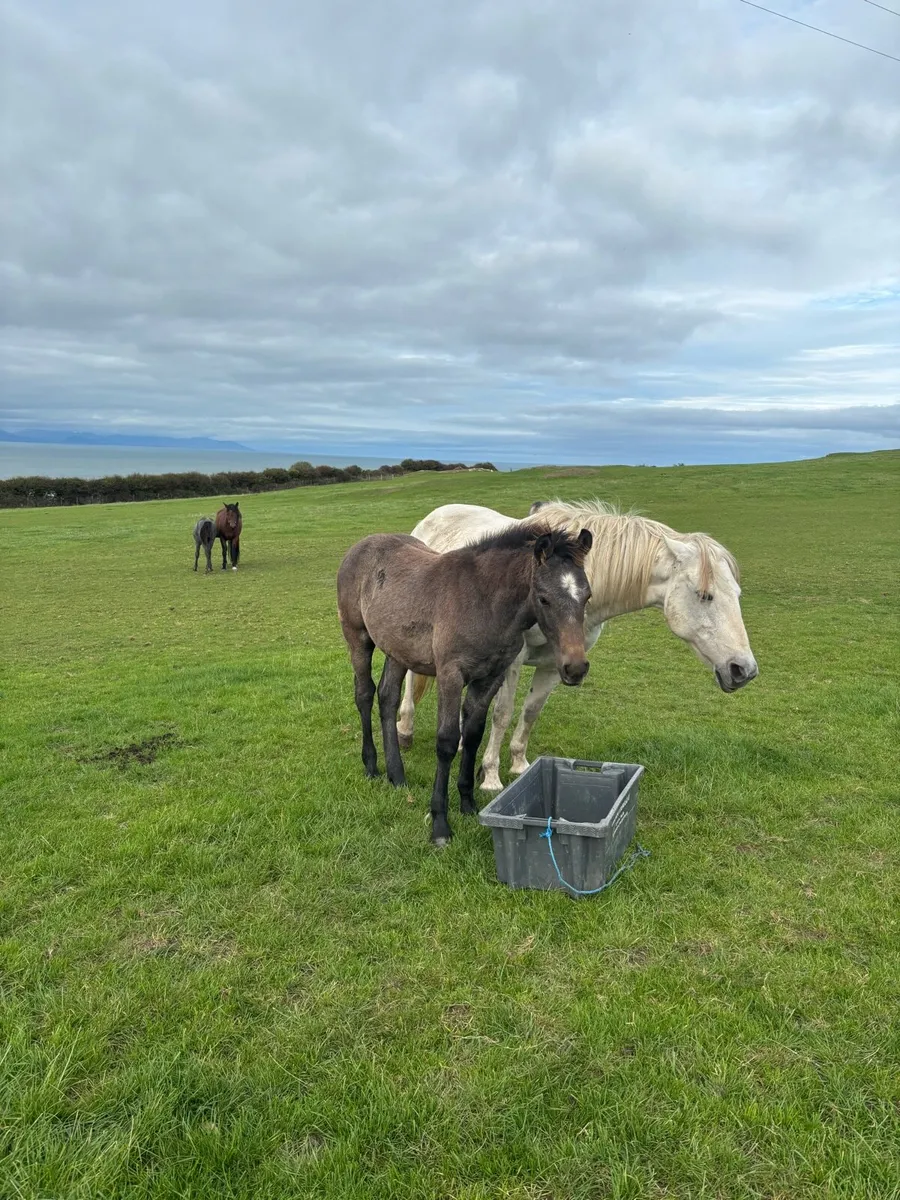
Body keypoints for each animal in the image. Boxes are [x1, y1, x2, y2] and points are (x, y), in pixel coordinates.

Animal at [337, 523, 593, 846]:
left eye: (587, 596)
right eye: (544, 598)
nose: (575, 668)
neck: (485, 602)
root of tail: (362, 544)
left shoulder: (490, 677)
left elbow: (472, 736)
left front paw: (469, 804)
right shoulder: (450, 674)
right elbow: (447, 741)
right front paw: (440, 824)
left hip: (398, 650)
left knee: (388, 698)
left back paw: (397, 776)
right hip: (357, 637)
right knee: (364, 694)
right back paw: (371, 766)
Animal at [397, 499, 759, 792]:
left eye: (737, 595)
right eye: (704, 595)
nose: (743, 670)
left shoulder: (555, 665)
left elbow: (530, 712)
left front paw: (518, 764)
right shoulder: (512, 661)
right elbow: (503, 713)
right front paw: (490, 777)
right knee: (412, 678)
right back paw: (405, 730)